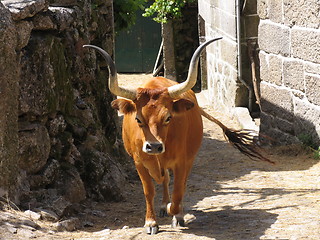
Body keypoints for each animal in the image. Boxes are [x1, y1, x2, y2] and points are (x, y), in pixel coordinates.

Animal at [84, 39, 272, 234]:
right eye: (138, 119)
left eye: (168, 117)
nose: (154, 146)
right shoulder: (138, 162)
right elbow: (149, 190)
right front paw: (151, 222)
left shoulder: (182, 161)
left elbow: (178, 191)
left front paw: (176, 212)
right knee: (165, 179)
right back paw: (163, 203)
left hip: (189, 157)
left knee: (179, 184)